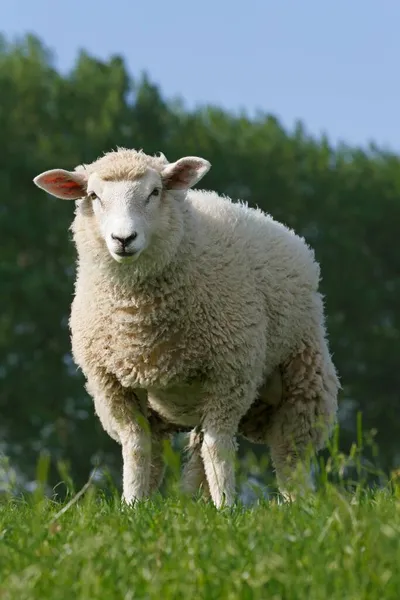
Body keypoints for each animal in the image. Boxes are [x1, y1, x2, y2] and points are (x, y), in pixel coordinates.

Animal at [32, 148, 340, 508]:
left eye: (154, 192)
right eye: (94, 196)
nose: (123, 239)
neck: (138, 319)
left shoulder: (230, 374)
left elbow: (218, 446)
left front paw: (227, 507)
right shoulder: (112, 384)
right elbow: (136, 447)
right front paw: (131, 506)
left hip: (304, 377)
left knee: (289, 452)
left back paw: (297, 505)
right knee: (178, 452)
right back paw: (186, 503)